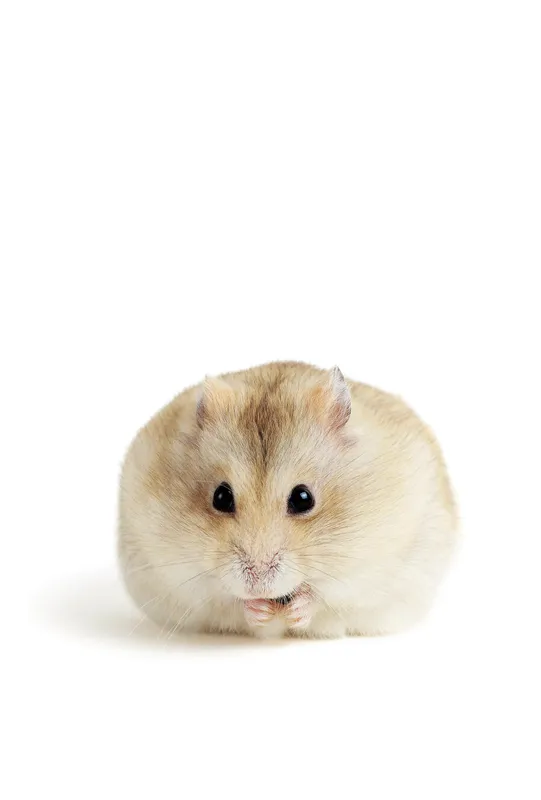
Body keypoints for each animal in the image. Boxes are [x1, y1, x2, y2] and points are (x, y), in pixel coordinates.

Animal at [118, 362, 457, 638]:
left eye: (303, 498)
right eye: (221, 497)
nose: (257, 583)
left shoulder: (371, 568)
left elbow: (324, 596)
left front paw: (294, 612)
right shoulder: (179, 577)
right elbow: (226, 598)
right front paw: (260, 610)